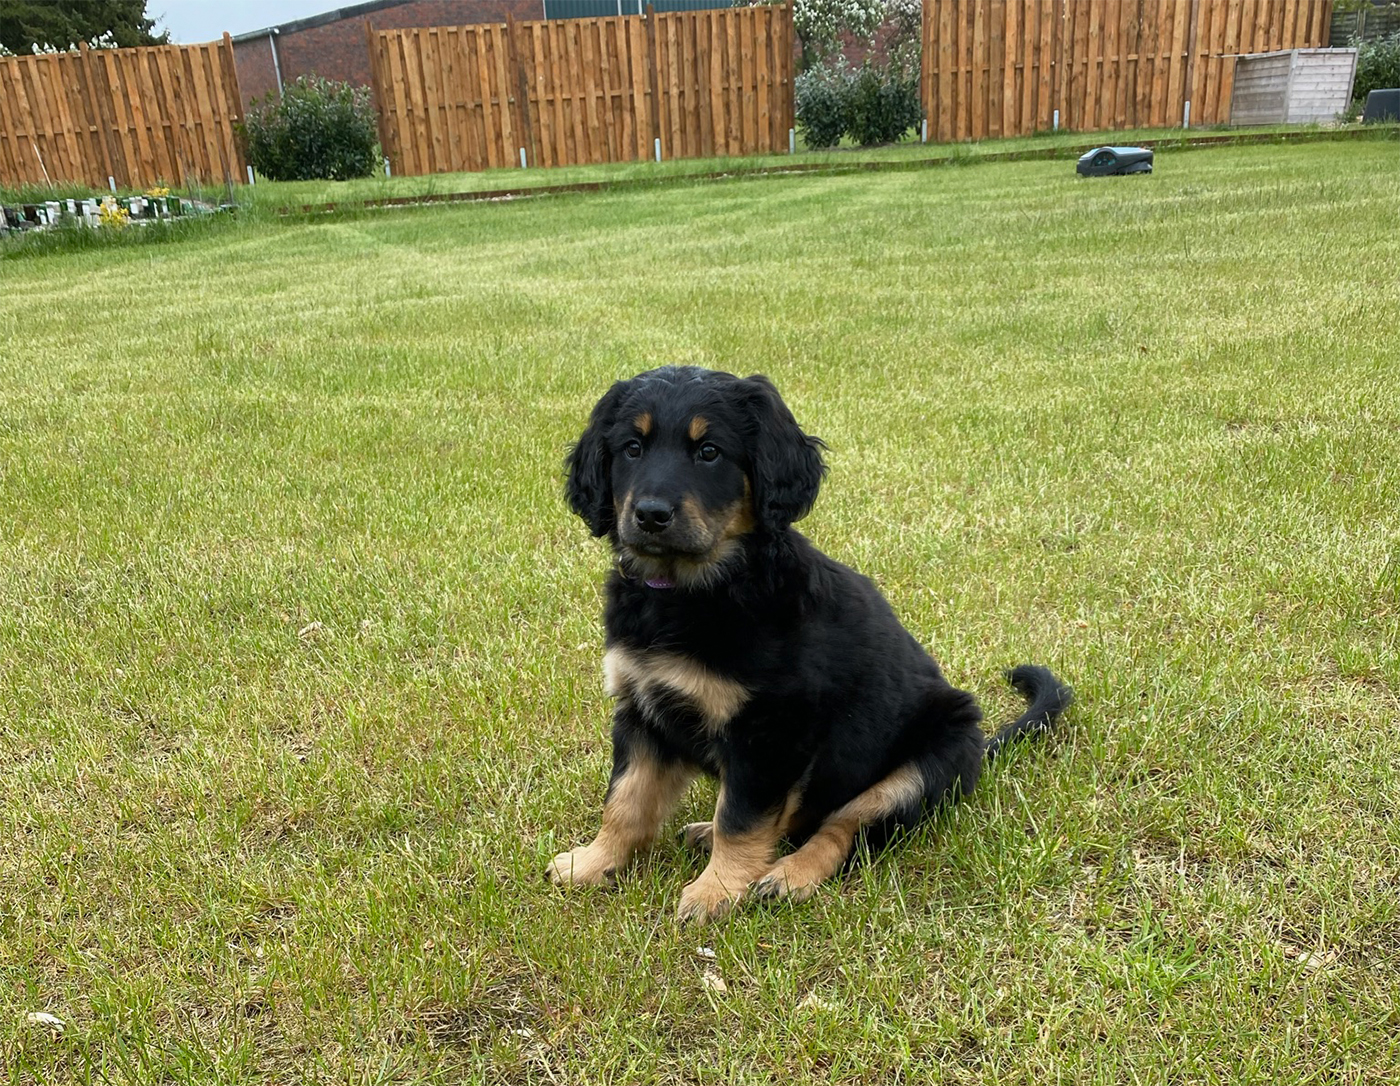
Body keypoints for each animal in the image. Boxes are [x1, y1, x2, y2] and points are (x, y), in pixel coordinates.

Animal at [547, 366, 1072, 923]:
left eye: (709, 452)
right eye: (631, 448)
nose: (650, 515)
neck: (693, 591)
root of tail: (981, 745)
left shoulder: (770, 731)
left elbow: (742, 816)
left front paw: (716, 891)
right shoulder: (642, 708)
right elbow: (625, 801)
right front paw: (593, 863)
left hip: (927, 760)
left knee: (841, 828)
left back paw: (787, 875)